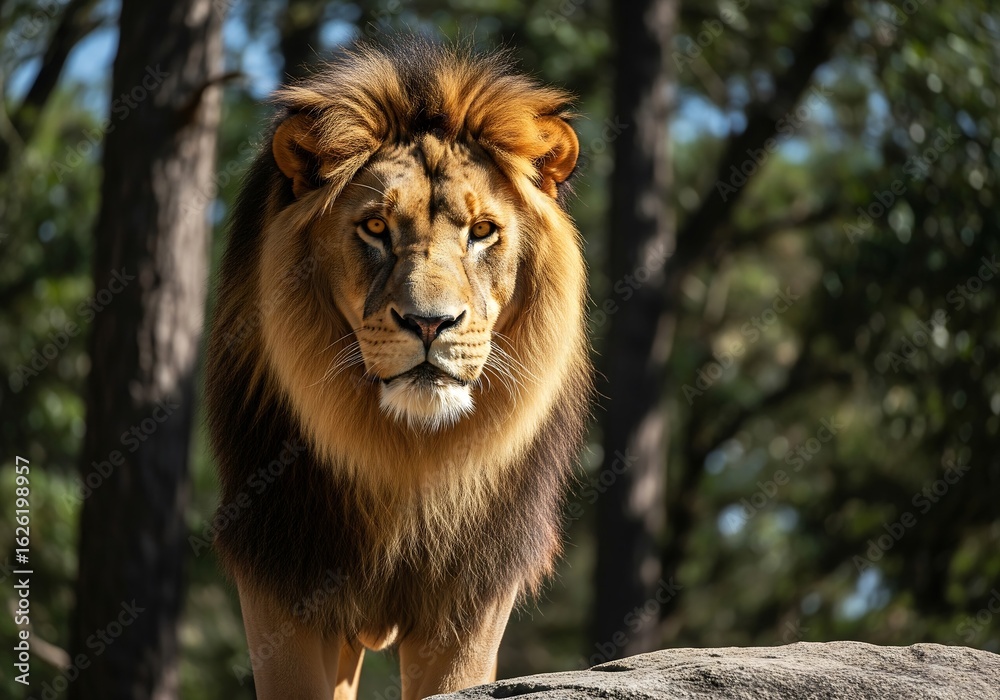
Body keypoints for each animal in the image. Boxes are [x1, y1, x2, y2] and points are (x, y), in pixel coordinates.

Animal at [204, 41, 591, 700]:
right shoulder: (282, 575)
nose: (429, 323)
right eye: (376, 227)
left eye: (482, 231)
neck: (406, 454)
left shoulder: (470, 601)